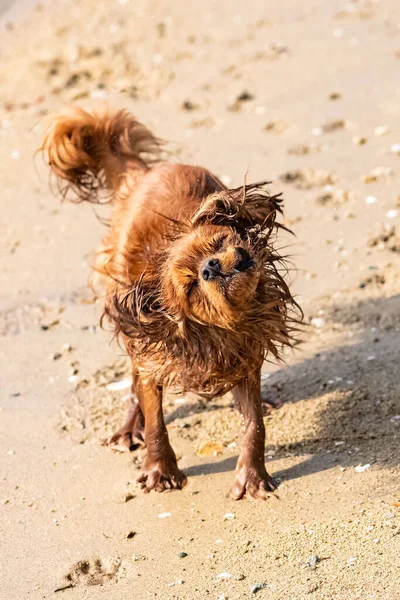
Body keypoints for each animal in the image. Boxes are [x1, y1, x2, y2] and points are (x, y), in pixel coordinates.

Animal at [42, 105, 302, 500]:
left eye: (218, 242)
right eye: (191, 285)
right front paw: (160, 470)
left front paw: (252, 476)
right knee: (133, 383)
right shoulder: (154, 353)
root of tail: (142, 173)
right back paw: (127, 430)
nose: (212, 266)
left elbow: (254, 423)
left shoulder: (246, 354)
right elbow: (155, 420)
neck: (221, 329)